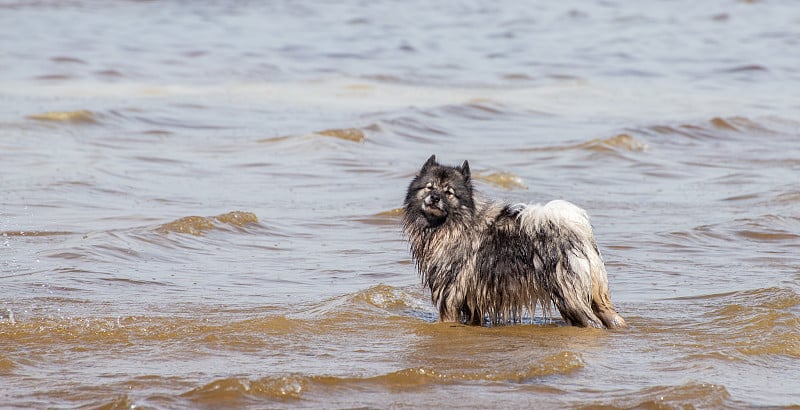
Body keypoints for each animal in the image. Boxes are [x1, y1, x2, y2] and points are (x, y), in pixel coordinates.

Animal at [404, 155, 628, 328]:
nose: (434, 198)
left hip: (568, 296)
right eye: (429, 187)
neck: (450, 226)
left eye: (448, 192)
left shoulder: (450, 293)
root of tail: (580, 235)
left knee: (592, 322)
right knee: (613, 318)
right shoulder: (472, 300)